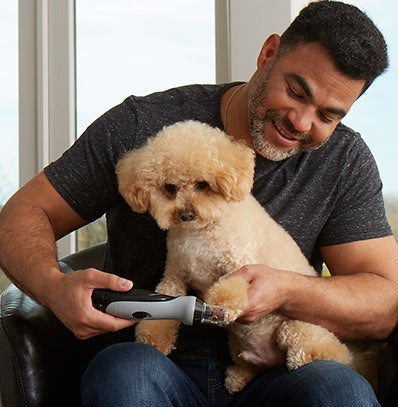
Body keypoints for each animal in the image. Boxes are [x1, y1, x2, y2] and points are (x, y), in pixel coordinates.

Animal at [116, 119, 376, 394]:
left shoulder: (239, 264)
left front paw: (224, 306)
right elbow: (162, 312)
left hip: (295, 329)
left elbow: (230, 288)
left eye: (202, 185)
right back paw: (239, 377)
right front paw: (153, 338)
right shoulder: (175, 277)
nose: (186, 214)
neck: (201, 231)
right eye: (169, 188)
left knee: (330, 354)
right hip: (237, 346)